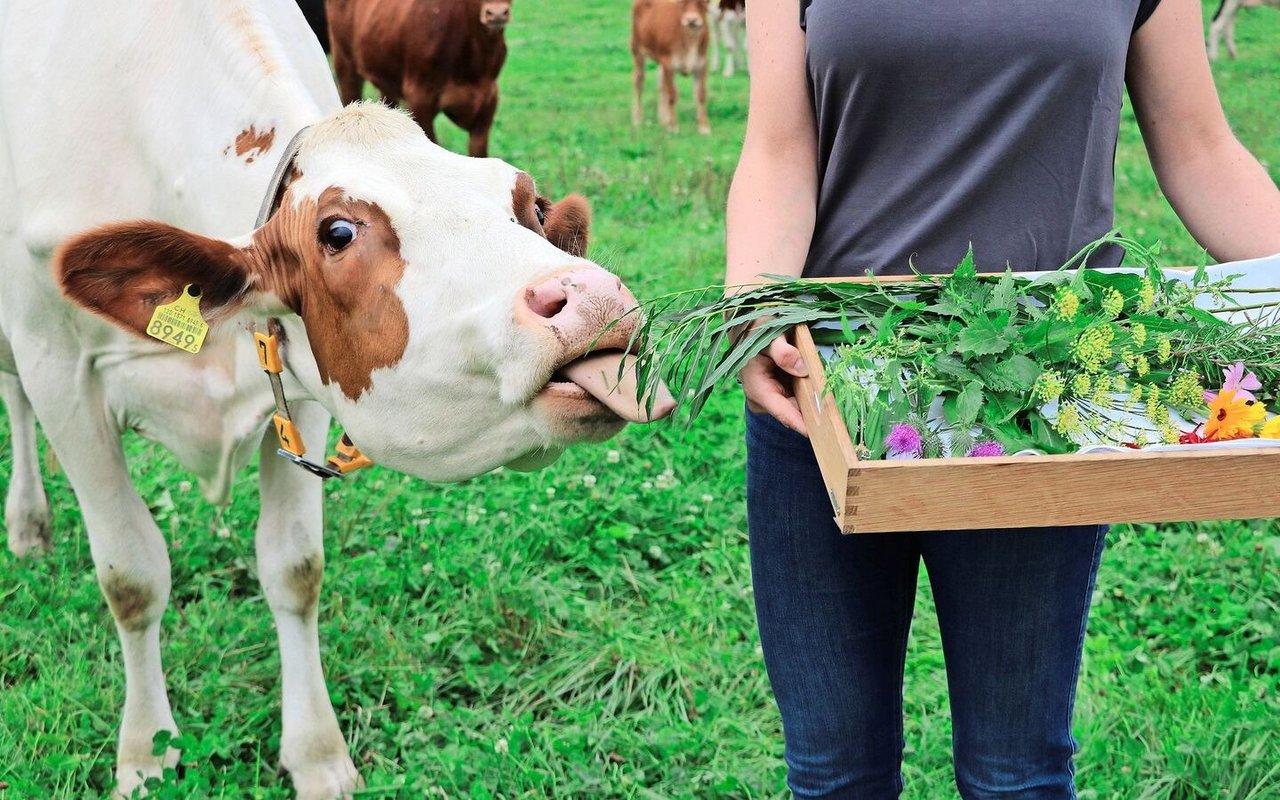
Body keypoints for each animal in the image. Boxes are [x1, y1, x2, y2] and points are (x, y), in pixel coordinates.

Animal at [629, 0, 711, 134]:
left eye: (703, 2)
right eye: (683, 3)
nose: (691, 20)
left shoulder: (702, 64)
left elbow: (701, 95)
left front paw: (704, 127)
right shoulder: (669, 64)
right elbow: (672, 95)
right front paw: (673, 126)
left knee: (661, 85)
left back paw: (663, 119)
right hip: (637, 49)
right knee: (638, 81)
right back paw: (637, 119)